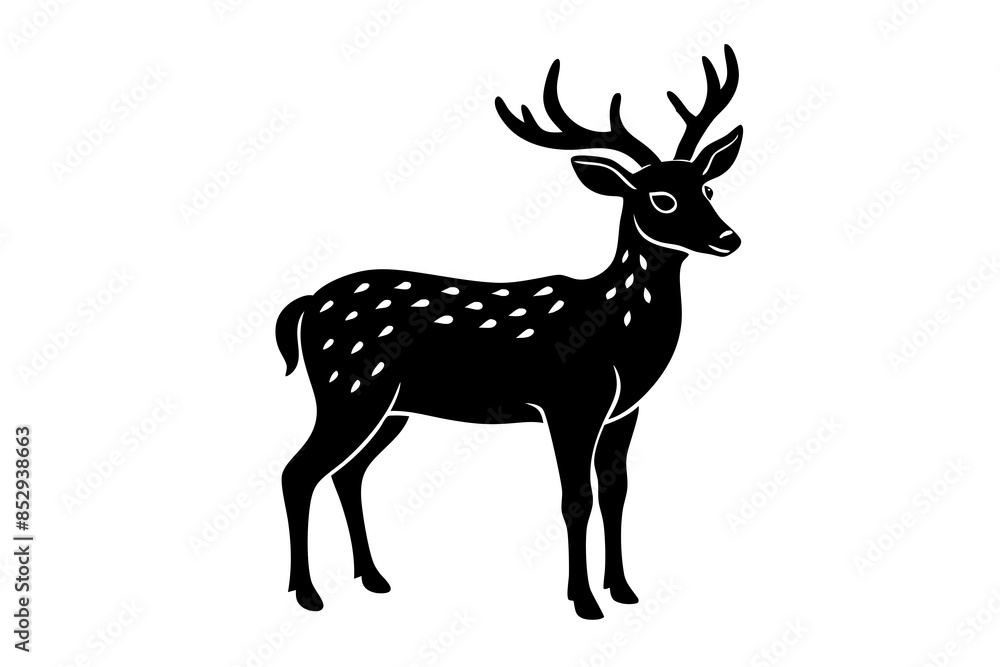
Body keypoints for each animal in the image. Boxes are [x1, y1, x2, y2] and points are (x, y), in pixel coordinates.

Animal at [275, 45, 742, 620]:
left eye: (708, 185)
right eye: (661, 199)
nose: (728, 238)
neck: (620, 338)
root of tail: (306, 305)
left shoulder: (624, 411)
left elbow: (617, 494)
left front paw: (624, 590)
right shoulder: (570, 402)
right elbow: (576, 500)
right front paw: (584, 601)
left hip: (389, 407)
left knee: (347, 473)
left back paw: (373, 578)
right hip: (348, 389)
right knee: (298, 473)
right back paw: (307, 593)